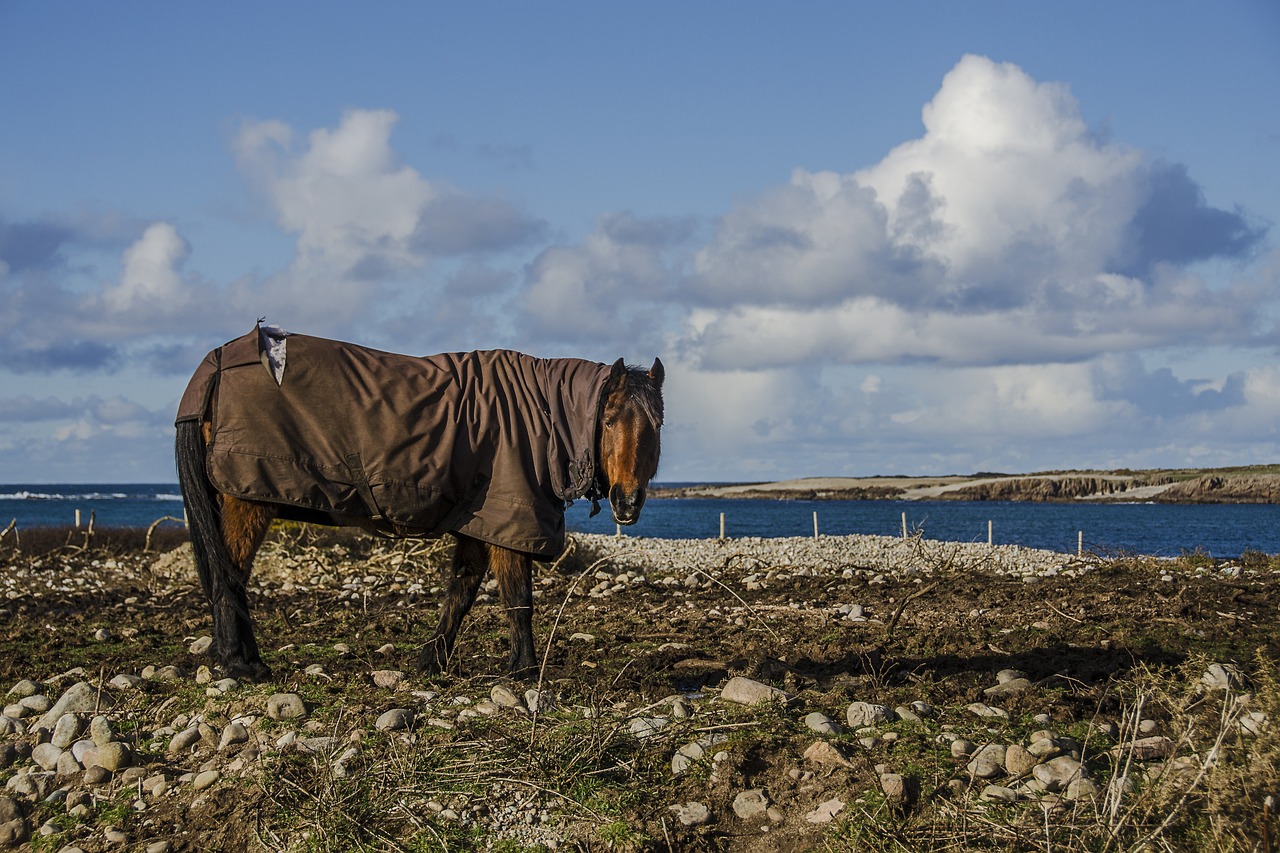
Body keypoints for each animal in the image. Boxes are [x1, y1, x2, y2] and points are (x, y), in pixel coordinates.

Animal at [174, 325, 665, 676]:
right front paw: (522, 669)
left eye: (657, 424)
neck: (539, 414)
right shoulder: (511, 519)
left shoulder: (481, 521)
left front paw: (432, 661)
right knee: (230, 574)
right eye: (607, 420)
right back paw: (239, 664)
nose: (627, 502)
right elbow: (517, 597)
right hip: (246, 500)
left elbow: (461, 593)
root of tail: (216, 364)